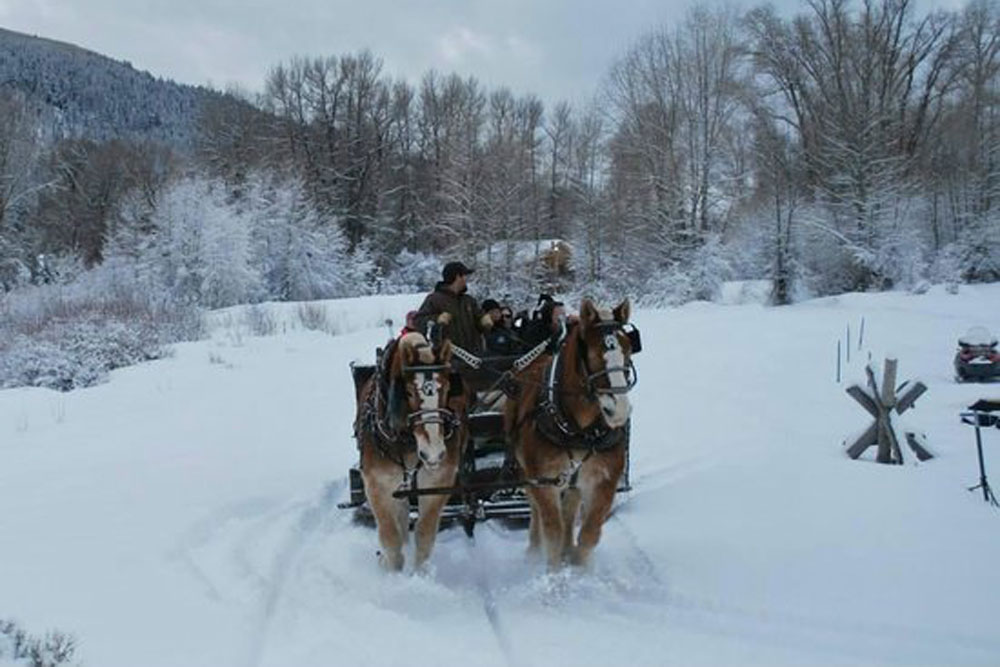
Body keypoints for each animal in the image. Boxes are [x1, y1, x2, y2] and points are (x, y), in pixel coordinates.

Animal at [354, 332, 466, 572]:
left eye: (447, 388)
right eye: (409, 392)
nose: (433, 453)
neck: (407, 441)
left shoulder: (436, 483)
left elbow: (425, 535)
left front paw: (419, 574)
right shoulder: (378, 486)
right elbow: (391, 539)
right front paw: (394, 571)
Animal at [504, 298, 636, 568]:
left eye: (628, 348)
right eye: (595, 353)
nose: (619, 409)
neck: (579, 431)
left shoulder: (604, 481)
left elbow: (590, 533)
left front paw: (579, 565)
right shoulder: (543, 479)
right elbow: (552, 530)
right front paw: (554, 572)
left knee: (571, 508)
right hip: (525, 471)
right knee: (536, 510)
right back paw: (534, 549)